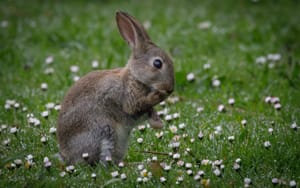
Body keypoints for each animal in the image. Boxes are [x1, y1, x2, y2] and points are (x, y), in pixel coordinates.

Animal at [57, 11, 175, 165]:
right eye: (157, 63)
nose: (170, 89)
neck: (134, 78)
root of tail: (66, 157)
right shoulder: (127, 98)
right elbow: (137, 106)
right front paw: (158, 97)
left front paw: (158, 123)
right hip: (102, 132)